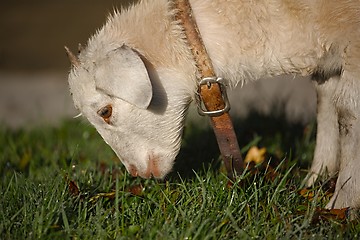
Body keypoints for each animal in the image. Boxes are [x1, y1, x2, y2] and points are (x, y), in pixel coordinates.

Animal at [66, 0, 360, 213]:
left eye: (105, 112)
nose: (136, 173)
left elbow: (348, 113)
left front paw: (341, 204)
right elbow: (326, 106)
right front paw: (316, 179)